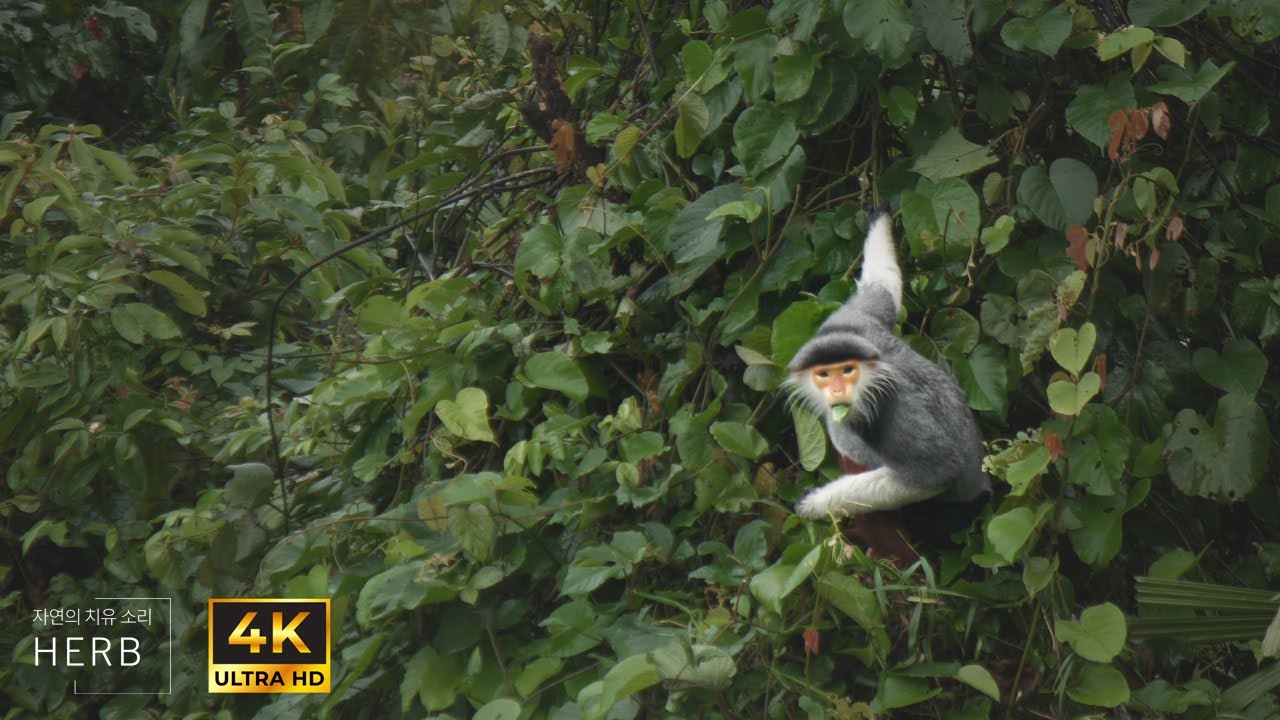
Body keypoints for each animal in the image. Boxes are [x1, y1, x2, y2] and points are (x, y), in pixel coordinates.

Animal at [786, 211, 989, 533]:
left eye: (847, 371)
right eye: (824, 375)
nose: (837, 390)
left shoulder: (890, 409)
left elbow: (938, 471)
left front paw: (815, 504)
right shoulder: (852, 321)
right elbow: (881, 285)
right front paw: (879, 215)